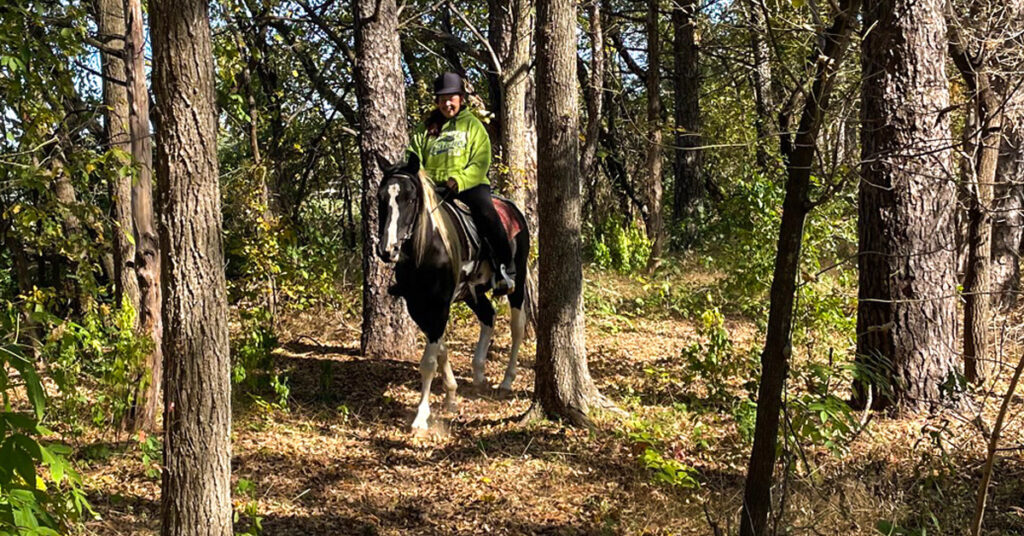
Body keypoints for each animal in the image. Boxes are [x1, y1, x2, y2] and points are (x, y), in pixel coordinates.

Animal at [380, 152, 532, 434]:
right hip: (472, 292)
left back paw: (507, 380)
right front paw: (451, 395)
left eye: (410, 198)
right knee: (488, 316)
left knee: (517, 327)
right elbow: (440, 348)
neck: (427, 248)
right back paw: (479, 371)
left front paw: (421, 416)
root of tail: (512, 208)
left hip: (518, 282)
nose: (388, 250)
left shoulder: (439, 305)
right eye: (381, 197)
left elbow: (429, 361)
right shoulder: (418, 305)